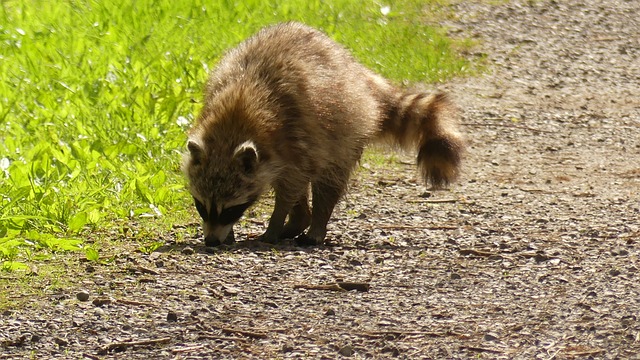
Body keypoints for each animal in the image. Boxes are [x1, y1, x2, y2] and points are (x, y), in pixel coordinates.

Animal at [182, 22, 462, 246]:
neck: (233, 124)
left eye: (230, 210)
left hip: (345, 129)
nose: (211, 241)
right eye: (201, 206)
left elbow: (291, 187)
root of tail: (358, 73)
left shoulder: (293, 134)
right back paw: (300, 219)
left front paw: (275, 222)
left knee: (328, 179)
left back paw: (313, 224)